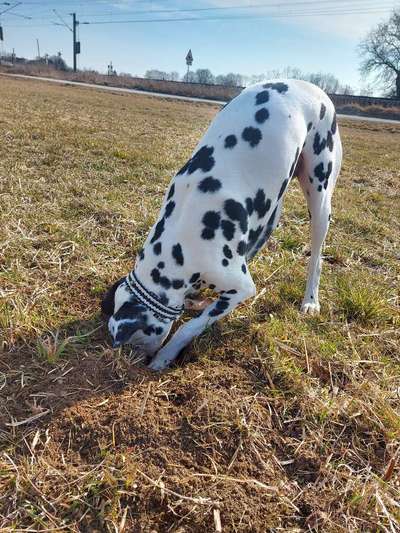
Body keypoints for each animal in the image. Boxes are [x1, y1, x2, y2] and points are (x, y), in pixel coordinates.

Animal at [101, 79, 342, 370]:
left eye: (136, 341)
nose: (140, 360)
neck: (179, 244)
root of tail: (315, 88)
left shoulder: (241, 288)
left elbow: (190, 327)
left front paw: (165, 356)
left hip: (320, 199)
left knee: (316, 257)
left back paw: (310, 301)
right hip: (270, 210)